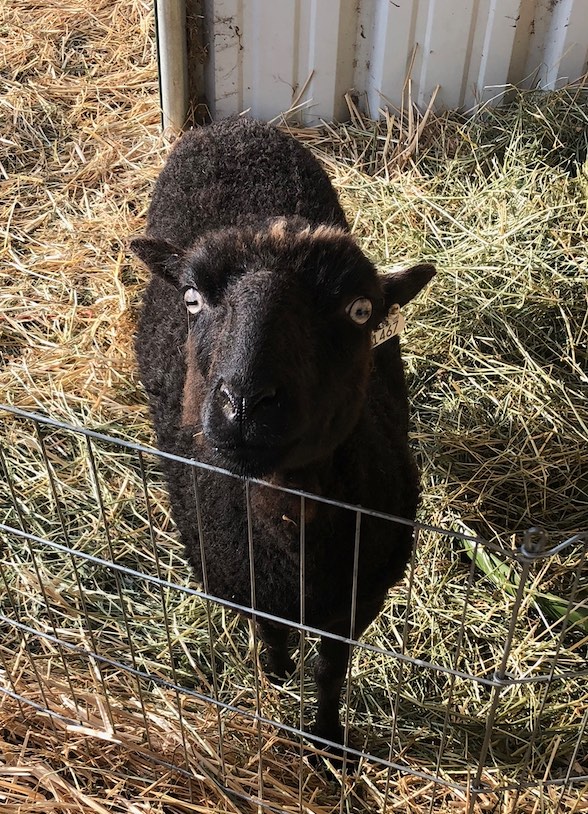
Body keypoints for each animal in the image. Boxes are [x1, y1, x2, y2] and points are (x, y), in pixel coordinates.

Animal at [130, 116, 435, 752]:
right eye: (192, 300)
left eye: (361, 311)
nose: (246, 403)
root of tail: (231, 125)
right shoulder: (242, 585)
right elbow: (271, 639)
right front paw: (276, 676)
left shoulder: (358, 599)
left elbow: (330, 671)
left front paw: (328, 740)